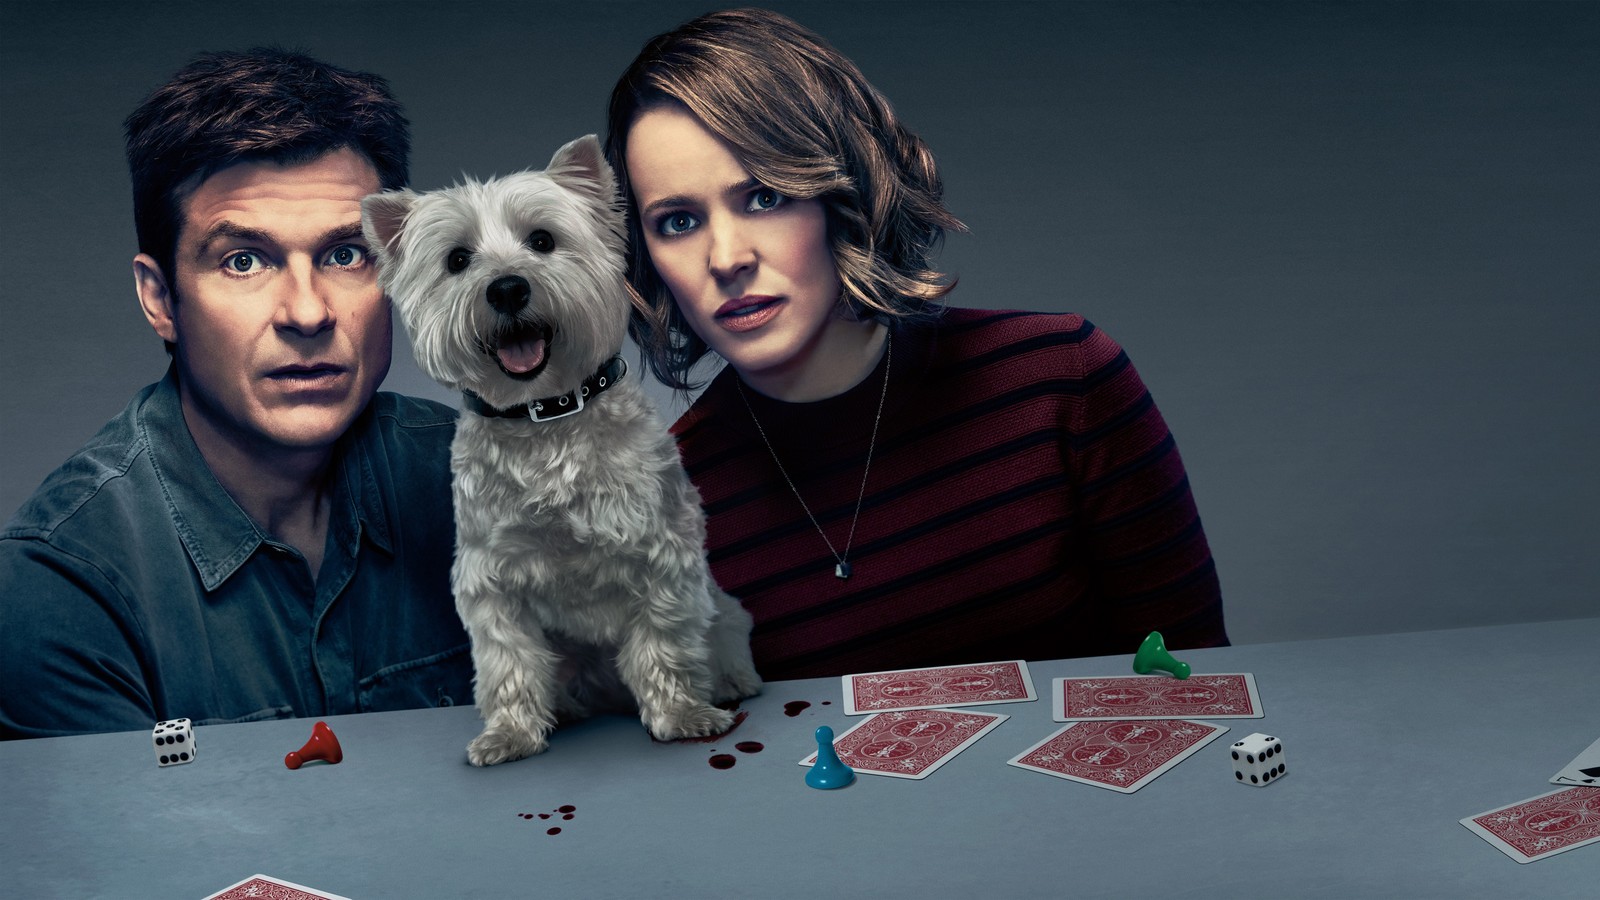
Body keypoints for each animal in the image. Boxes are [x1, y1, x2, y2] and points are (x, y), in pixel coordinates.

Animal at [364, 134, 761, 762]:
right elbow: (508, 661)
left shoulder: (662, 555)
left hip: (723, 611)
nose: (507, 287)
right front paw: (509, 734)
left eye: (543, 241)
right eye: (457, 259)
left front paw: (681, 714)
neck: (545, 417)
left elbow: (664, 640)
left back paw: (728, 684)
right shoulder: (491, 579)